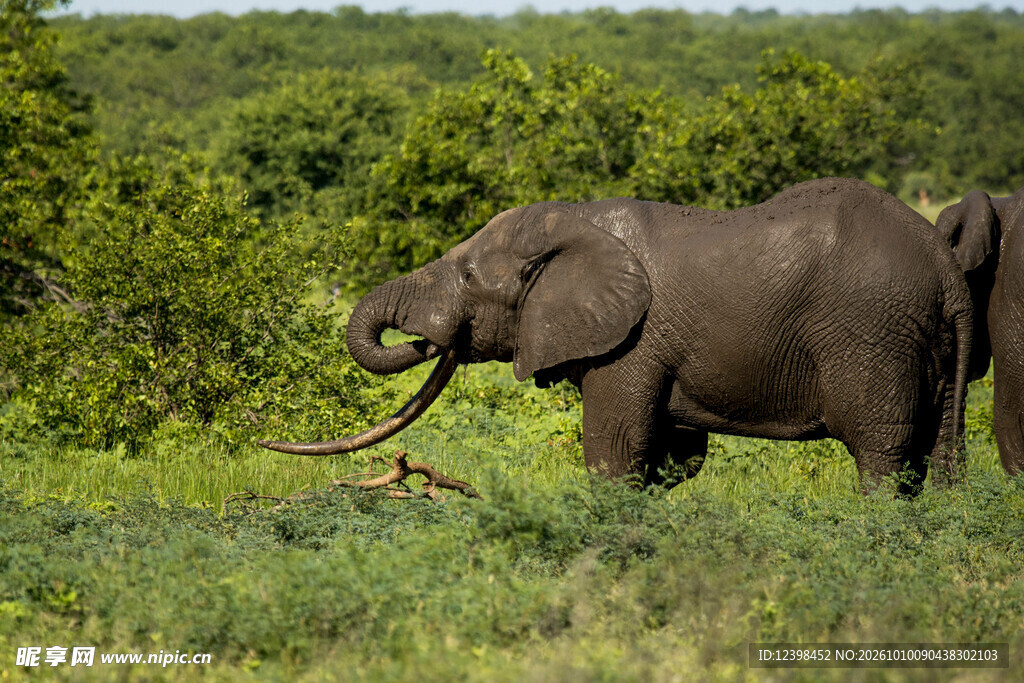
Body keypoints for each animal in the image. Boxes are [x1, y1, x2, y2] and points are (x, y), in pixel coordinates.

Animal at [260, 177, 973, 493]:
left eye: (467, 275)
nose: (429, 340)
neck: (573, 221)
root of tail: (945, 266)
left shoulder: (633, 344)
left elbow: (615, 447)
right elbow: (670, 457)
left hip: (872, 334)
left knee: (882, 453)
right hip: (926, 344)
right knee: (939, 454)